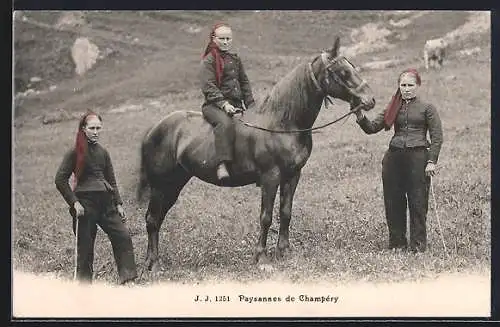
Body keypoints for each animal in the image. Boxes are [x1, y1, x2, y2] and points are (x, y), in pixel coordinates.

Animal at [137, 36, 376, 272]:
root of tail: (154, 129)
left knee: (157, 219)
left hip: (174, 184)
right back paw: (153, 263)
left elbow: (285, 212)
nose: (370, 100)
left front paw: (284, 251)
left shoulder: (292, 175)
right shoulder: (271, 177)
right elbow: (266, 217)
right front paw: (261, 257)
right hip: (160, 186)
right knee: (152, 219)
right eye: (343, 72)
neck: (282, 124)